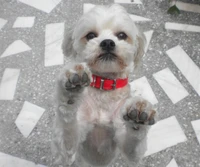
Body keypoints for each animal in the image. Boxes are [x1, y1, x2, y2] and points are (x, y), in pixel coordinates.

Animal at [52, 4, 156, 167]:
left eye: (121, 35)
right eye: (90, 35)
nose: (107, 42)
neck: (104, 86)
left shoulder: (129, 149)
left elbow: (134, 140)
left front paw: (139, 114)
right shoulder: (67, 144)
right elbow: (67, 120)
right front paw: (71, 91)